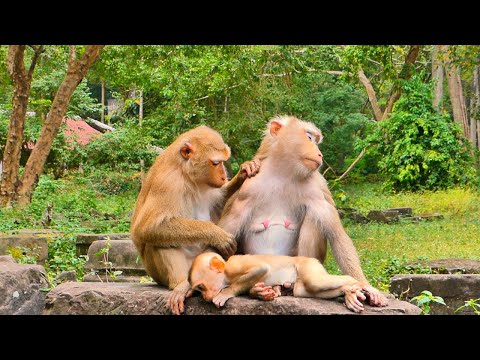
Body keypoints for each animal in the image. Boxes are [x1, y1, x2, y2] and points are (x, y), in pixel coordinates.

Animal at [130, 126, 258, 316]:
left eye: (222, 162)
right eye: (216, 163)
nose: (223, 176)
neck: (186, 174)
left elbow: (219, 203)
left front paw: (243, 172)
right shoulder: (168, 182)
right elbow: (147, 228)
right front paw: (217, 234)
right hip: (159, 271)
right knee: (159, 240)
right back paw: (183, 285)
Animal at [189, 252, 370, 314]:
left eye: (201, 287)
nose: (204, 297)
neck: (226, 274)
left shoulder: (235, 266)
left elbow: (261, 268)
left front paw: (225, 293)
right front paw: (262, 293)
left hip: (308, 264)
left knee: (316, 282)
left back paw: (356, 284)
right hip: (302, 278)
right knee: (307, 289)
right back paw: (349, 290)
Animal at [219, 115, 388, 306]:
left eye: (316, 140)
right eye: (309, 138)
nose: (320, 154)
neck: (283, 174)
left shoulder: (316, 186)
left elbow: (337, 235)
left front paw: (366, 286)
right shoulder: (248, 189)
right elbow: (225, 232)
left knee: (315, 217)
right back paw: (260, 290)